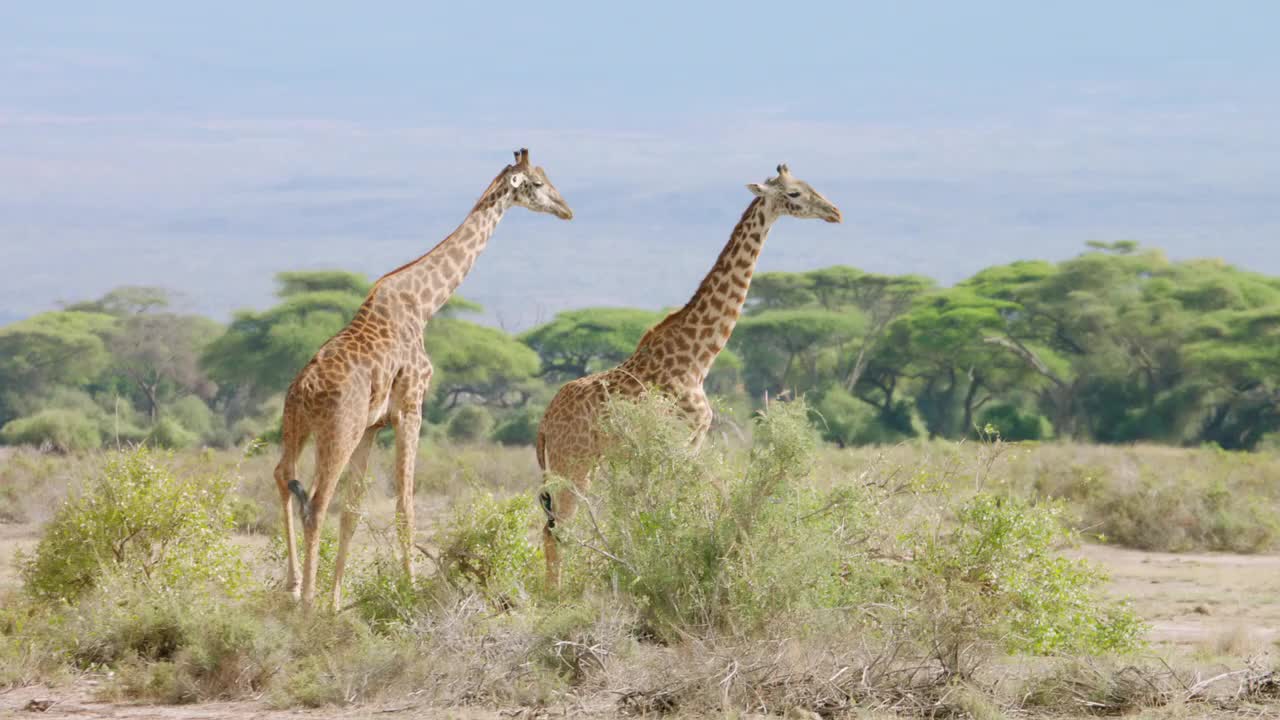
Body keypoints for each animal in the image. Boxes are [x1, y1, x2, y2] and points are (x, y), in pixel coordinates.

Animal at [277, 147, 573, 604]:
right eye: (538, 184)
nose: (566, 209)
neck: (423, 304)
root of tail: (302, 390)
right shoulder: (411, 407)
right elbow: (405, 503)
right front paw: (410, 590)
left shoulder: (373, 427)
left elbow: (354, 511)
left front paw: (337, 601)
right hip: (337, 431)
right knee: (316, 502)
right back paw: (306, 600)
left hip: (297, 427)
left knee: (285, 481)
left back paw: (294, 587)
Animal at [535, 162, 844, 584]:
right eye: (794, 193)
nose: (835, 212)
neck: (698, 358)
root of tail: (544, 424)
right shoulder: (681, 445)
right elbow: (670, 514)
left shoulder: (689, 448)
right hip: (575, 464)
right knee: (558, 531)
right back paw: (555, 596)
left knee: (551, 528)